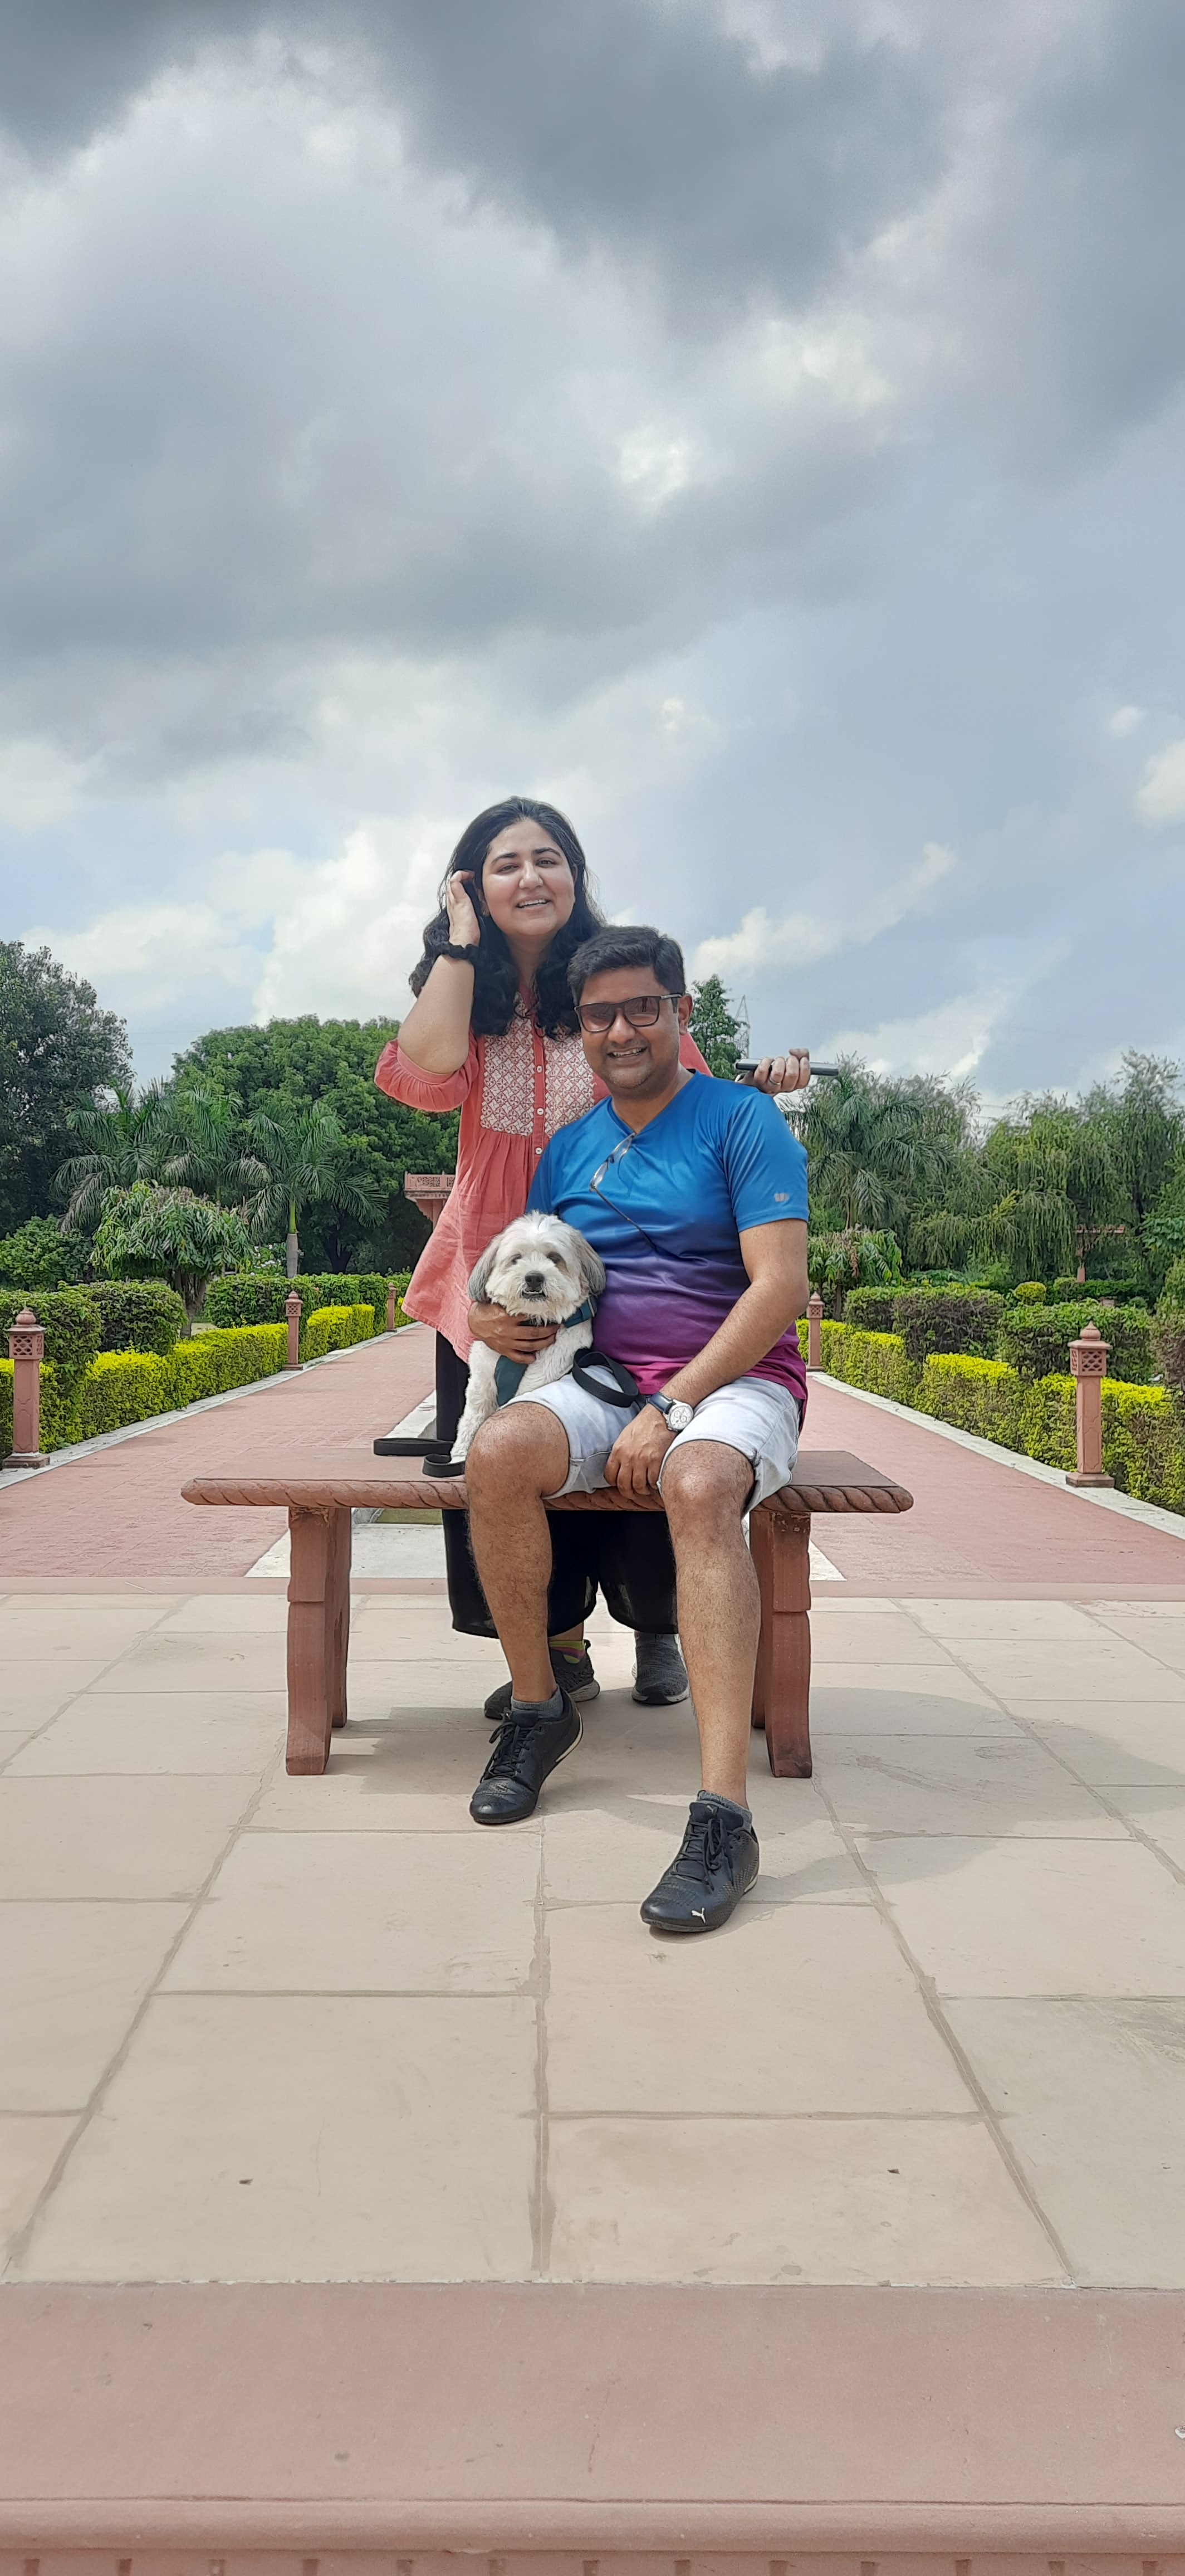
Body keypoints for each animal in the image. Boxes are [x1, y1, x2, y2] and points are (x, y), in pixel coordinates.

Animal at [451, 1212, 607, 1462]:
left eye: (554, 1258)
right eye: (516, 1259)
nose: (534, 1277)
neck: (533, 1320)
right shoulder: (481, 1384)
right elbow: (472, 1419)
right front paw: (460, 1455)